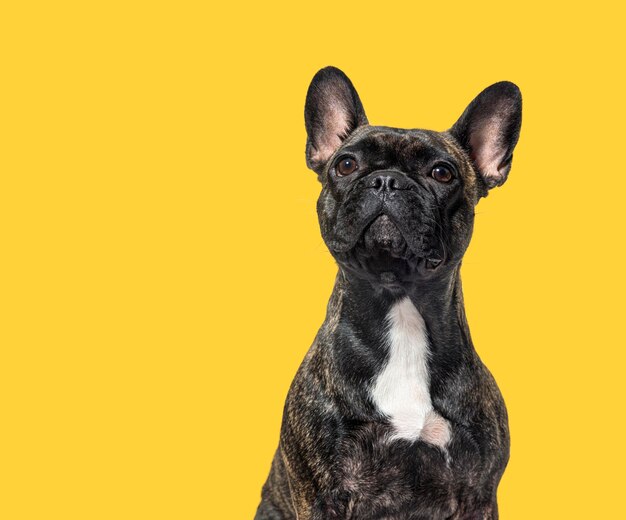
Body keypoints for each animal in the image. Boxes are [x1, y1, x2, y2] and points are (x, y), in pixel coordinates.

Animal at [254, 67, 520, 516]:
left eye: (442, 173)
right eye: (345, 164)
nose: (386, 180)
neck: (401, 310)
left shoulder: (478, 494)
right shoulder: (321, 495)